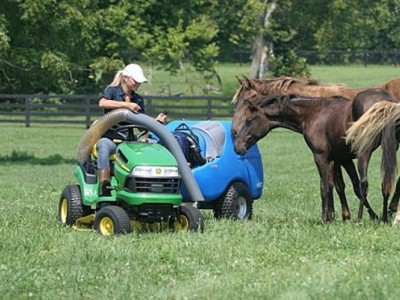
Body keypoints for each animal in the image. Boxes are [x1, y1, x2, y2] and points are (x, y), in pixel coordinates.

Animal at [231, 91, 396, 223]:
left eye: (249, 120)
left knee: (365, 182)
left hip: (364, 152)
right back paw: (384, 216)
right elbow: (342, 186)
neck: (314, 113)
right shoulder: (341, 158)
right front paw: (346, 216)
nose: (237, 146)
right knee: (385, 182)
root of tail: (385, 100)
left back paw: (360, 218)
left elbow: (326, 186)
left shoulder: (321, 156)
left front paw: (326, 218)